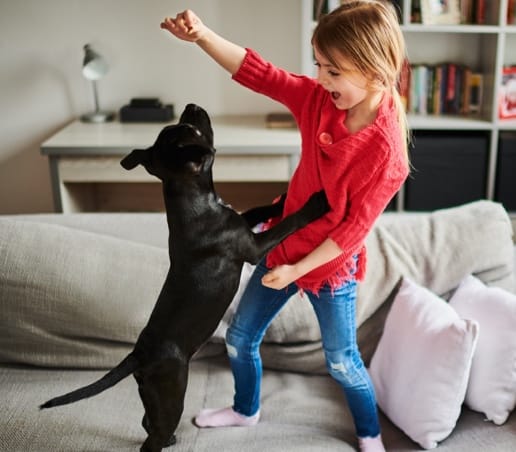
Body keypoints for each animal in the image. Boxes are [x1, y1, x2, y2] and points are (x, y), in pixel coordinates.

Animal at [41, 103, 330, 452]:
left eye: (178, 127)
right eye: (191, 130)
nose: (191, 106)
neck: (195, 202)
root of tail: (139, 355)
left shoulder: (244, 221)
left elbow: (261, 209)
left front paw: (285, 194)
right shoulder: (253, 246)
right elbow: (288, 223)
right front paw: (314, 204)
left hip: (154, 397)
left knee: (148, 423)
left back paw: (170, 439)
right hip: (172, 394)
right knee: (151, 437)